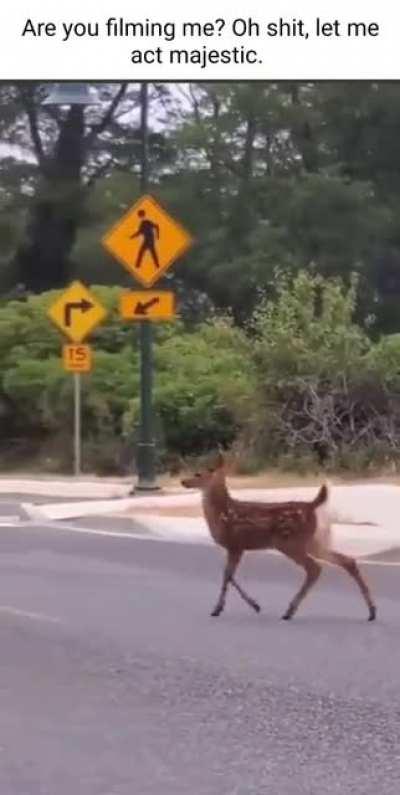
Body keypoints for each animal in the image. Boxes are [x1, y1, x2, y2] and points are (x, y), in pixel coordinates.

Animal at [181, 455, 376, 622]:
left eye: (198, 473)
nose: (183, 481)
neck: (222, 513)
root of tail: (312, 506)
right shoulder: (237, 547)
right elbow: (228, 574)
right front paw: (235, 607)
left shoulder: (235, 545)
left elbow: (227, 575)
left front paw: (236, 607)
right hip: (312, 542)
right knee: (347, 561)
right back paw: (371, 611)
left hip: (290, 542)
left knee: (315, 568)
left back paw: (290, 611)